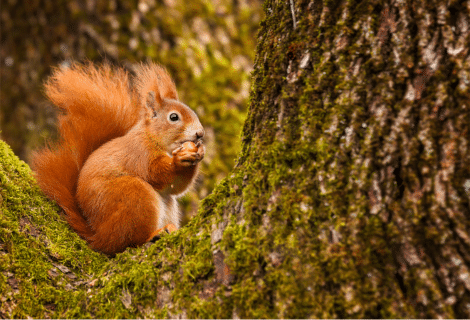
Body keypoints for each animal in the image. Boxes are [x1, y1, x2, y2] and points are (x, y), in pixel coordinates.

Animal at [31, 63, 204, 255]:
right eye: (173, 117)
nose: (200, 134)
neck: (153, 137)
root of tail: (97, 236)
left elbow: (176, 186)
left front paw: (199, 151)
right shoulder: (139, 153)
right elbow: (155, 173)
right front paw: (179, 160)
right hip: (134, 196)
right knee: (127, 242)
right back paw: (153, 234)